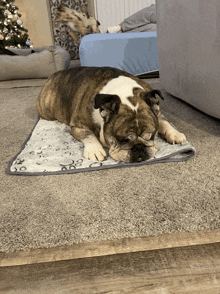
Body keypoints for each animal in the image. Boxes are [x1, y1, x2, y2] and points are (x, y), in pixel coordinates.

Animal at [36, 66, 186, 163]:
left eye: (152, 136)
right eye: (121, 139)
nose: (138, 148)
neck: (124, 92)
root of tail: (53, 75)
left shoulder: (157, 112)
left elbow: (165, 122)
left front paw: (175, 134)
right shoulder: (78, 126)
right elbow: (88, 134)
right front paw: (95, 150)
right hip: (46, 110)